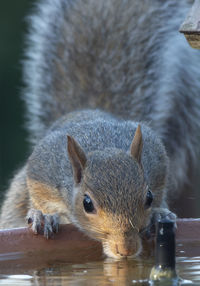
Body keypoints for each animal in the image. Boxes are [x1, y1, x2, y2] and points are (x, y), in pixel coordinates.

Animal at [0, 0, 200, 260]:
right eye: (87, 204)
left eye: (148, 197)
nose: (126, 249)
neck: (102, 146)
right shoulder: (43, 169)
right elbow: (40, 198)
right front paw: (43, 216)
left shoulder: (157, 162)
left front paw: (159, 214)